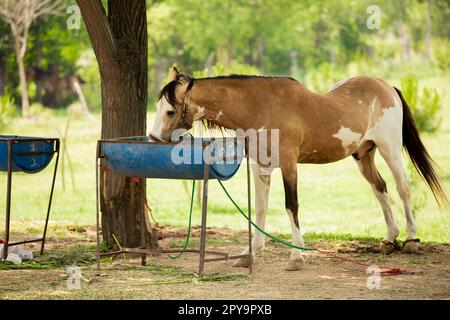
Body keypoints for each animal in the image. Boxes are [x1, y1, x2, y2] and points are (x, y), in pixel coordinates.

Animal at [150, 67, 446, 270]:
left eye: (169, 111)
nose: (153, 138)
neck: (261, 107)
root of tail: (387, 87)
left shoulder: (289, 163)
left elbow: (291, 205)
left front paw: (297, 255)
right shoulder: (261, 165)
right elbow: (260, 208)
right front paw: (250, 253)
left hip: (390, 149)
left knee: (403, 188)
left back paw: (411, 239)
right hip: (364, 155)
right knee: (380, 189)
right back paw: (388, 239)